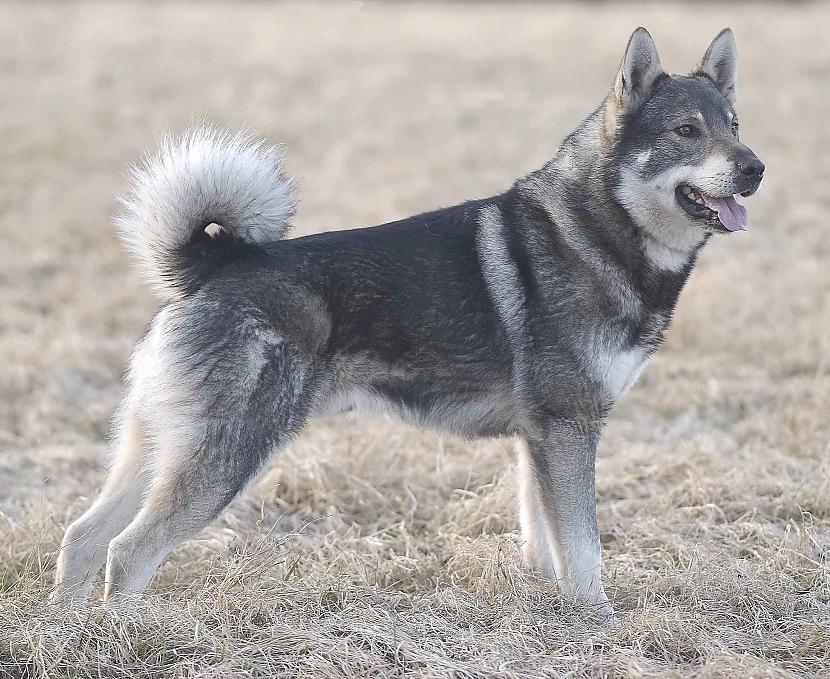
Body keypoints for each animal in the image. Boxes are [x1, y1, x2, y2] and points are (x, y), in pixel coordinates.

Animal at [53, 26, 768, 620]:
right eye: (685, 131)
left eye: (734, 126)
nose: (755, 168)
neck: (596, 231)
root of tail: (212, 265)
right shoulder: (569, 427)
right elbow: (584, 546)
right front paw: (600, 623)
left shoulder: (538, 437)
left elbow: (547, 542)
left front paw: (553, 606)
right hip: (226, 457)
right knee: (128, 552)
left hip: (154, 446)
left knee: (83, 537)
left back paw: (70, 627)